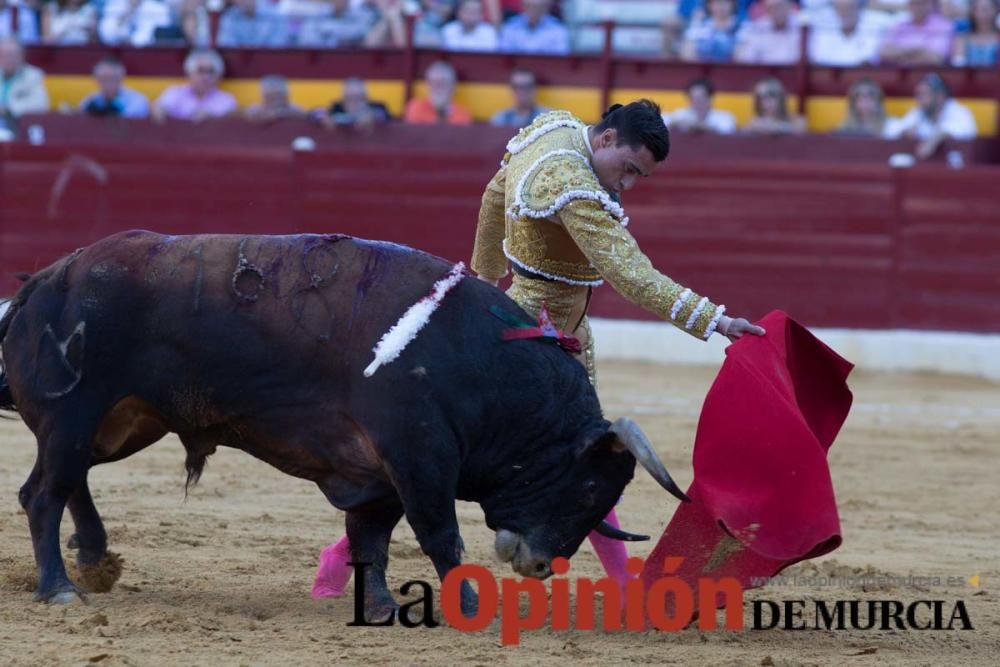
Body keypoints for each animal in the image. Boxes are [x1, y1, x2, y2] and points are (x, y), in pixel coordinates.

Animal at [0, 232, 688, 624]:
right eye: (590, 488)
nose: (542, 567)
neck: (487, 368)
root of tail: (42, 281)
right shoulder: (419, 456)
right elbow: (440, 535)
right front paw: (469, 607)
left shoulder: (376, 470)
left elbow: (372, 540)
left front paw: (381, 607)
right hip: (74, 413)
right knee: (42, 494)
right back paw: (60, 589)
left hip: (123, 422)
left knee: (70, 482)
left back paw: (96, 560)